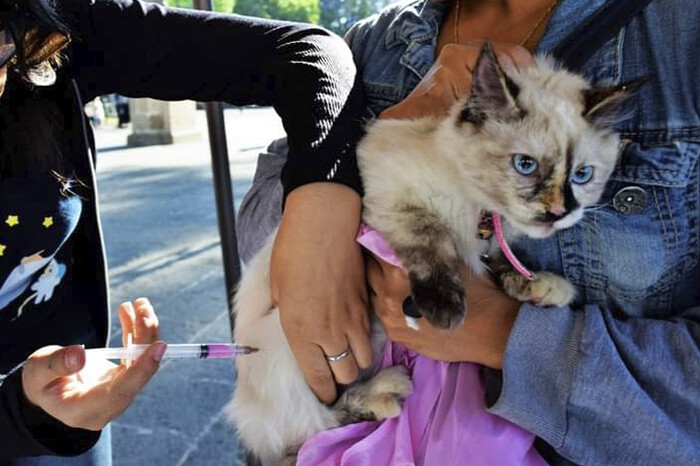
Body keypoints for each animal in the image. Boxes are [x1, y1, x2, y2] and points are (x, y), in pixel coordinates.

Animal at [226, 44, 640, 466]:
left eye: (582, 176)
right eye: (525, 165)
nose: (559, 212)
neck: (479, 210)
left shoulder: (486, 243)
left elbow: (501, 264)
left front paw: (540, 286)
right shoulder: (386, 203)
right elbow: (431, 237)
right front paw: (445, 308)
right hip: (288, 349)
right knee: (313, 424)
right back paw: (386, 392)